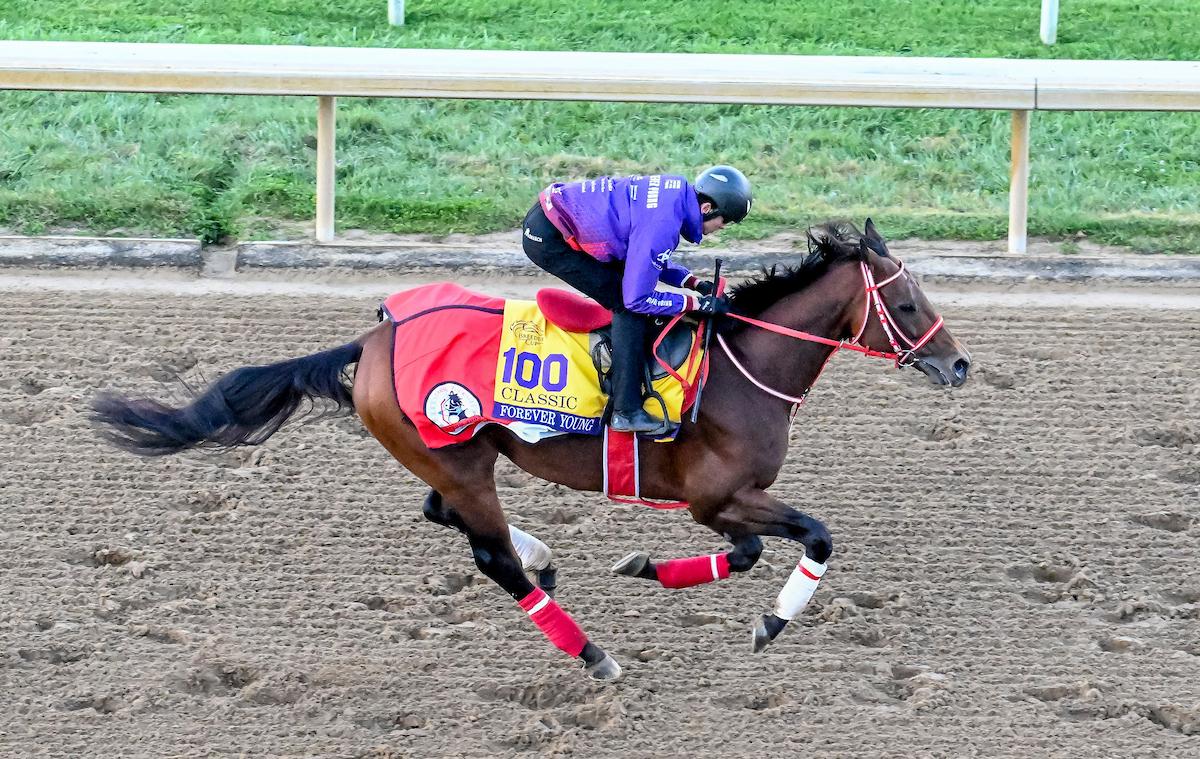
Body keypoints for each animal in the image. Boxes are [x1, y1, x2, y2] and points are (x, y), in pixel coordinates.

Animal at [91, 219, 971, 681]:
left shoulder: (721, 504)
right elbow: (809, 537)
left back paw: (544, 555)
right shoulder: (715, 496)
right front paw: (770, 622)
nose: (958, 363)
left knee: (443, 511)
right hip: (456, 454)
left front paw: (644, 566)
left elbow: (751, 550)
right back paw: (592, 652)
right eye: (905, 302)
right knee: (488, 557)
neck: (739, 365)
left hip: (459, 454)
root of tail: (373, 339)